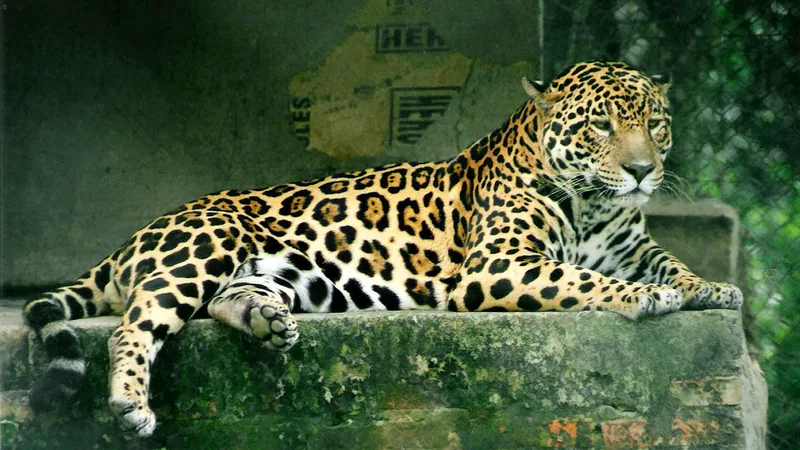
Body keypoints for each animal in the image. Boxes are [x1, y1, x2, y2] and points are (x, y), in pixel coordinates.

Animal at [23, 61, 743, 437]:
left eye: (654, 123)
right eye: (600, 126)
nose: (644, 171)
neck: (594, 205)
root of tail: (138, 235)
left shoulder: (629, 242)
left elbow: (671, 260)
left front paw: (712, 286)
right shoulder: (497, 267)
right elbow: (583, 281)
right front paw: (648, 296)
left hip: (282, 272)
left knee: (227, 301)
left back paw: (268, 321)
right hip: (207, 244)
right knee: (134, 325)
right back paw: (130, 403)